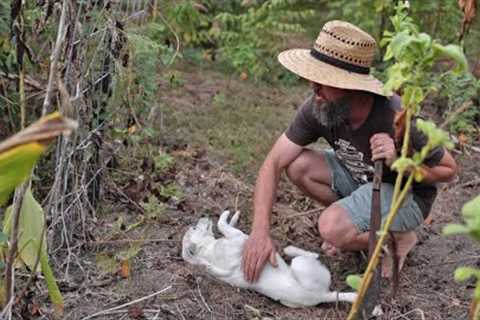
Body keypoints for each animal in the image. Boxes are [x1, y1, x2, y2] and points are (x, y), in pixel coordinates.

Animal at [182, 210, 358, 308]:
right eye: (195, 227)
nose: (202, 217)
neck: (209, 251)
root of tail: (323, 295)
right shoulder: (240, 240)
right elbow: (221, 225)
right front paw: (226, 216)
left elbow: (226, 225)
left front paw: (233, 217)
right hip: (300, 265)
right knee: (312, 256)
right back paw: (291, 250)